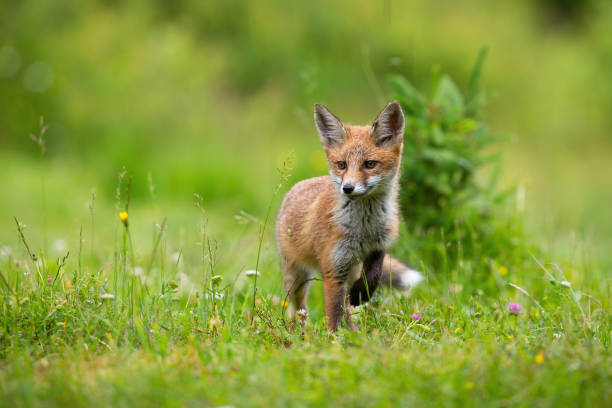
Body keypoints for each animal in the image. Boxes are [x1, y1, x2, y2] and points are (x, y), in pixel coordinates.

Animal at [276, 99, 420, 332]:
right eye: (341, 165)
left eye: (370, 164)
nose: (348, 188)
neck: (364, 229)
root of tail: (298, 185)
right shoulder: (334, 270)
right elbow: (334, 314)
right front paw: (335, 339)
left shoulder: (378, 245)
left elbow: (374, 274)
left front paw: (362, 295)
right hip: (296, 276)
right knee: (298, 309)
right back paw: (297, 333)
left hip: (348, 271)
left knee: (345, 306)